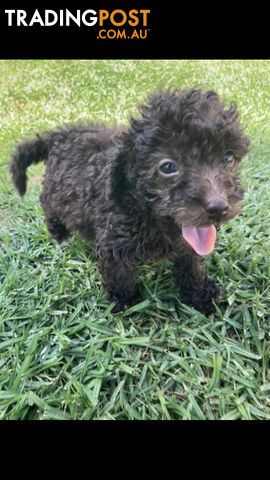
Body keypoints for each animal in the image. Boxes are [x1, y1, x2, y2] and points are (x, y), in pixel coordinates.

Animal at [10, 89, 251, 316]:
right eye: (167, 167)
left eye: (228, 157)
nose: (218, 208)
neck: (145, 213)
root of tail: (57, 135)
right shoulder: (112, 241)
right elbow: (119, 273)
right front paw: (125, 301)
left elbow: (192, 263)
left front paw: (200, 293)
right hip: (54, 193)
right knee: (49, 208)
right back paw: (60, 235)